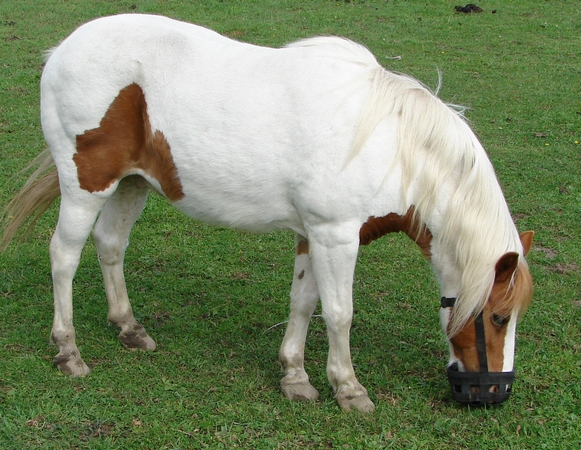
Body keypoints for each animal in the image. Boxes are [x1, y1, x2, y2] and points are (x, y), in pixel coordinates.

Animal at [0, 14, 532, 412]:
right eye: (499, 317)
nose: (495, 392)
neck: (391, 145)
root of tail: (64, 49)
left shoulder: (314, 234)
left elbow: (303, 303)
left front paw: (295, 376)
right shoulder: (337, 236)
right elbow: (339, 313)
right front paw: (349, 388)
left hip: (132, 184)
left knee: (110, 246)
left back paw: (130, 329)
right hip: (86, 187)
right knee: (64, 256)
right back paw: (68, 351)